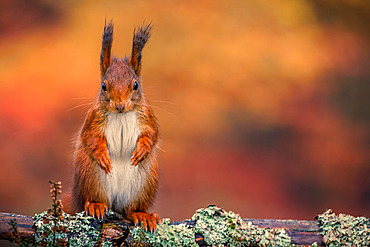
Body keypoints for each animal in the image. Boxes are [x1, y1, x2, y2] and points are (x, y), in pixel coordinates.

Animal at [63, 21, 159, 232]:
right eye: (104, 86)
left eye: (136, 85)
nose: (120, 105)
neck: (121, 115)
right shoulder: (93, 120)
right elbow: (91, 138)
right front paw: (102, 155)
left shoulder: (147, 118)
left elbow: (152, 134)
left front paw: (142, 149)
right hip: (91, 175)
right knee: (93, 199)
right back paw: (96, 205)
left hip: (144, 183)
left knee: (130, 209)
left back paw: (141, 214)